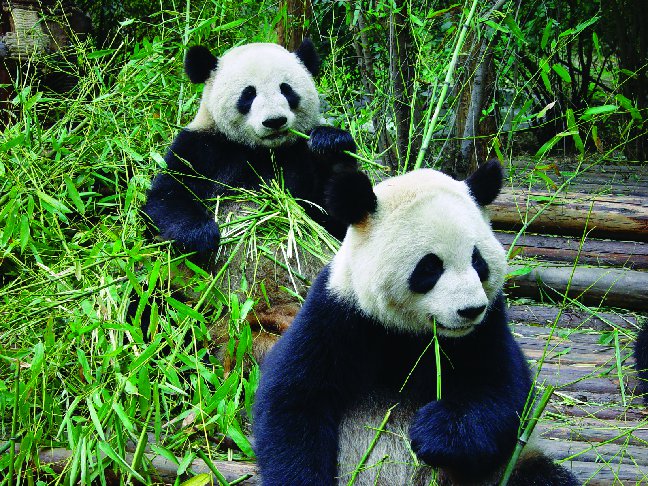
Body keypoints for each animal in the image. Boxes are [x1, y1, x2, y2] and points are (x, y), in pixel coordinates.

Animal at [144, 40, 356, 254]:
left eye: (286, 89)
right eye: (248, 93)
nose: (274, 121)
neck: (263, 149)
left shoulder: (300, 151)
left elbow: (332, 211)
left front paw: (329, 143)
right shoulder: (201, 148)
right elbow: (168, 194)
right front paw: (201, 234)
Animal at [253, 161, 576, 484]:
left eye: (477, 260)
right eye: (430, 266)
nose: (471, 310)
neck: (411, 333)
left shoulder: (488, 325)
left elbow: (504, 386)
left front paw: (435, 433)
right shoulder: (338, 315)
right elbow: (293, 397)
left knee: (538, 473)